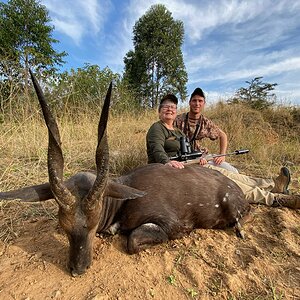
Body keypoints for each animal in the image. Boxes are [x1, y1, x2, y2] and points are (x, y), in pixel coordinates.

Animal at [0, 73, 250, 276]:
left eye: (93, 225)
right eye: (64, 227)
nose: (78, 269)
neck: (121, 202)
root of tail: (238, 191)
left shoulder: (170, 225)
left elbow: (133, 240)